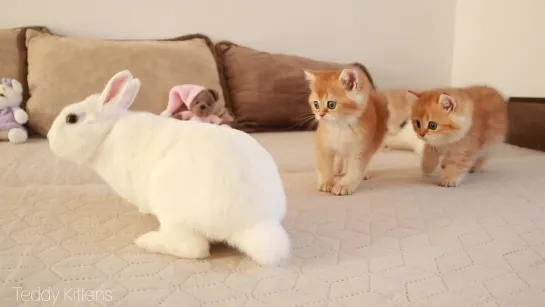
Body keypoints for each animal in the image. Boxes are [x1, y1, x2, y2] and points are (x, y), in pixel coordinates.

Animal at [47, 70, 288, 264]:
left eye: (71, 119)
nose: (49, 137)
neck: (107, 133)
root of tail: (255, 222)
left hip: (173, 212)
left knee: (195, 248)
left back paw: (147, 241)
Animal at [302, 66, 386, 196]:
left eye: (331, 104)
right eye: (316, 104)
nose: (320, 115)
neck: (340, 126)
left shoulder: (361, 149)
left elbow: (355, 169)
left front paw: (343, 185)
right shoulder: (324, 145)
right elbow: (324, 165)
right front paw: (326, 182)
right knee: (339, 155)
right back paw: (336, 169)